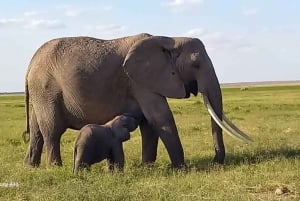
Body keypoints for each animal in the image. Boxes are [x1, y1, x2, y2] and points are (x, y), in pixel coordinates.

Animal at [22, 33, 251, 168]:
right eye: (195, 64)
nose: (215, 162)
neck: (169, 39)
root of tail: (30, 64)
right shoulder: (139, 81)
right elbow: (161, 118)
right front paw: (181, 168)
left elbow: (149, 123)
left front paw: (147, 166)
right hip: (47, 89)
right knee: (52, 130)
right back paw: (55, 168)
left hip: (40, 93)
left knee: (36, 129)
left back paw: (31, 167)